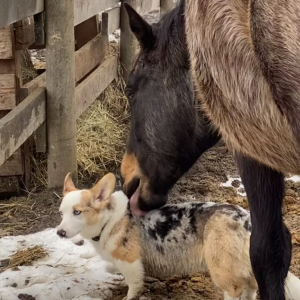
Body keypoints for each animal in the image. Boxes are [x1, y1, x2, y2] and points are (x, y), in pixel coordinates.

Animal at [56, 173, 300, 300]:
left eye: (77, 212)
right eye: (61, 213)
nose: (59, 233)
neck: (108, 220)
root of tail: (247, 221)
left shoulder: (131, 264)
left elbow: (133, 286)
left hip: (222, 270)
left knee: (235, 291)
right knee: (251, 289)